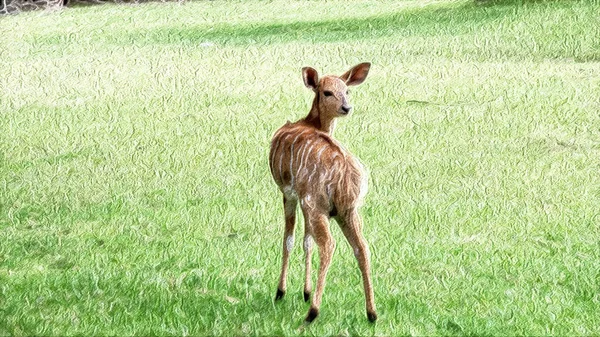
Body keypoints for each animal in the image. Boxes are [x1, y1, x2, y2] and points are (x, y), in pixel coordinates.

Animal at [270, 61, 378, 322]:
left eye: (347, 90)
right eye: (327, 92)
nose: (346, 107)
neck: (308, 122)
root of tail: (344, 177)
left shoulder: (288, 192)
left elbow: (289, 238)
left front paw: (282, 292)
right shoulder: (302, 199)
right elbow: (306, 240)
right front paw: (304, 291)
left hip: (316, 203)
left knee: (328, 245)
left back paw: (313, 312)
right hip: (348, 209)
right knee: (362, 247)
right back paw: (371, 313)